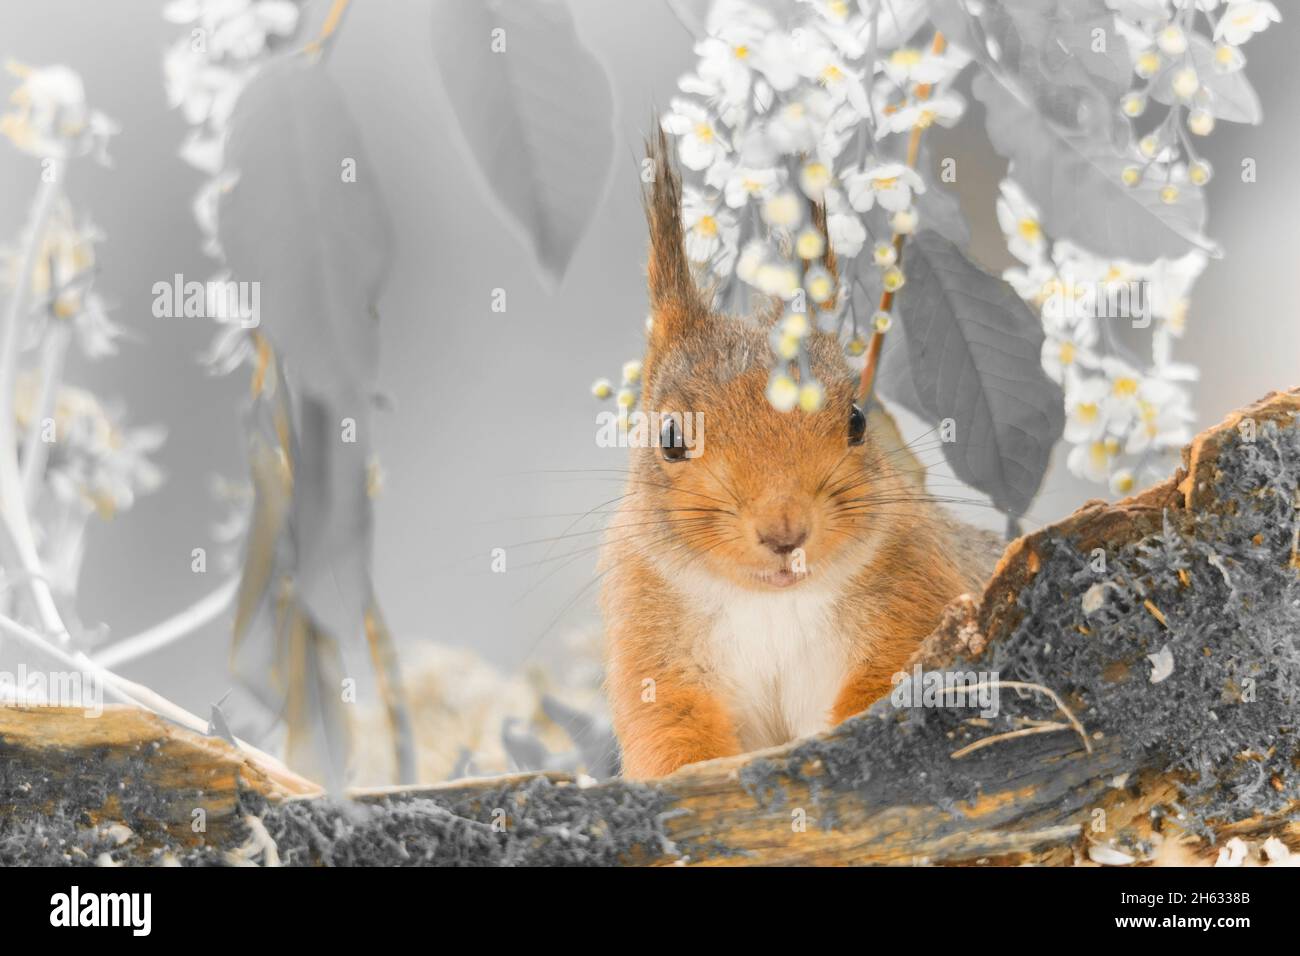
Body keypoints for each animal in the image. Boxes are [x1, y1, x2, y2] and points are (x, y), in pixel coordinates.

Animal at [595, 132, 993, 780]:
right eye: (672, 437)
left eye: (857, 420)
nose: (786, 532)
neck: (769, 605)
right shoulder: (652, 649)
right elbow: (673, 741)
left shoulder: (916, 591)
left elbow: (881, 689)